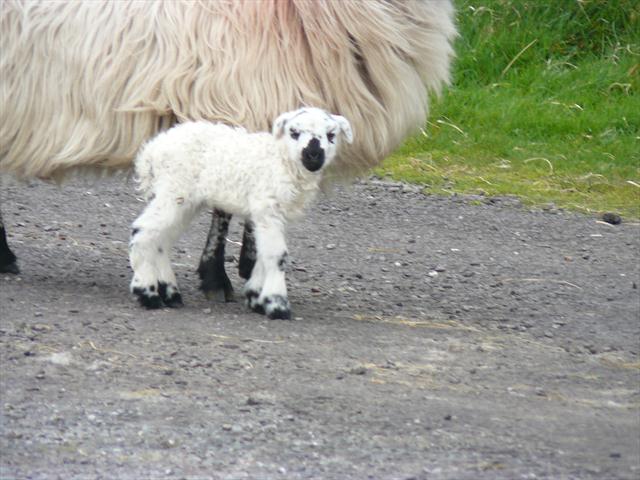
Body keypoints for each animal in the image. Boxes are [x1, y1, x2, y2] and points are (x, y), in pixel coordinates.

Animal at [128, 107, 352, 320]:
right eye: (294, 132)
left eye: (331, 135)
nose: (313, 155)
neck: (281, 161)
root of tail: (151, 151)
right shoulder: (267, 208)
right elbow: (277, 255)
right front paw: (277, 304)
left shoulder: (267, 215)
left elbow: (262, 253)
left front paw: (256, 298)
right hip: (174, 190)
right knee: (142, 231)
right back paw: (147, 293)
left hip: (184, 201)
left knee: (160, 242)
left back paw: (170, 293)